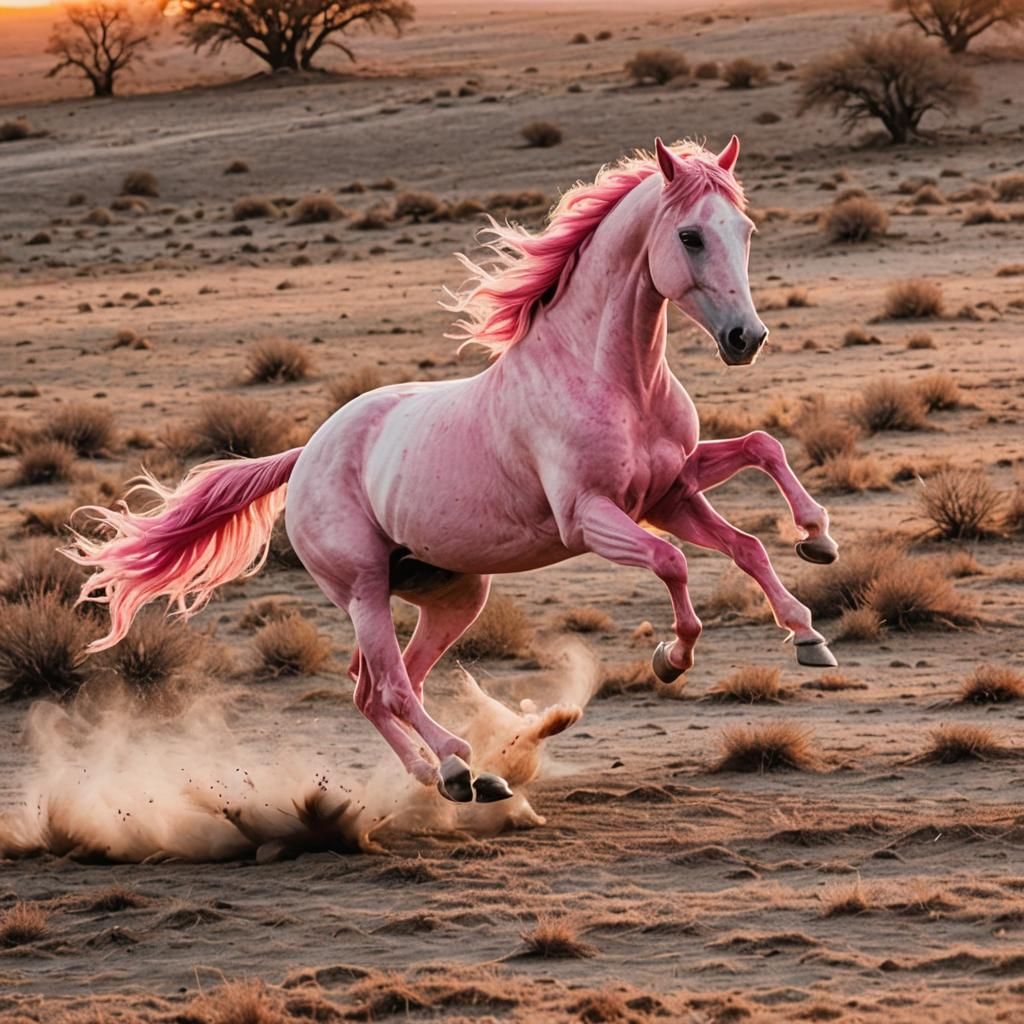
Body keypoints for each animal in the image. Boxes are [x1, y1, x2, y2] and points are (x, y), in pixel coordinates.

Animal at [67, 135, 839, 806]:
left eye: (744, 230)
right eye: (690, 237)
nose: (746, 339)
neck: (612, 379)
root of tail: (308, 451)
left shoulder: (669, 491)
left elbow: (756, 492)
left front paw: (812, 594)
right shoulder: (591, 517)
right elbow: (673, 561)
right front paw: (671, 658)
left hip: (451, 596)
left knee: (376, 687)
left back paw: (438, 778)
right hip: (363, 591)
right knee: (388, 688)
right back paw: (462, 767)